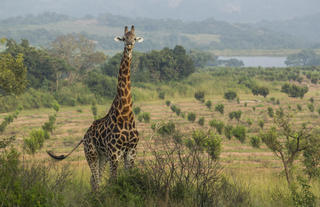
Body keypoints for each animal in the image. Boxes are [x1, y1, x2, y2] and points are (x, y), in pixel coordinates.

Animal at [47, 25, 143, 191]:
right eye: (124, 38)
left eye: (134, 38)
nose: (129, 45)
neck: (125, 113)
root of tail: (84, 136)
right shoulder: (115, 153)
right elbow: (113, 180)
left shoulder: (131, 151)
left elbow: (128, 178)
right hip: (91, 153)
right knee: (96, 181)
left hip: (102, 156)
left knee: (93, 179)